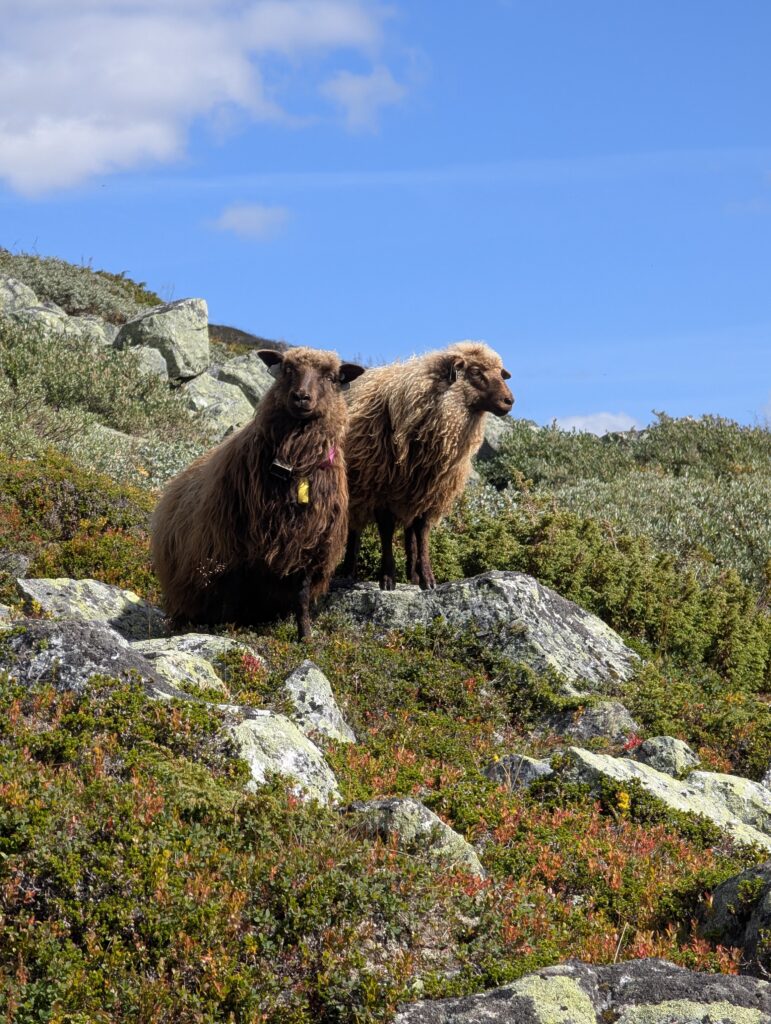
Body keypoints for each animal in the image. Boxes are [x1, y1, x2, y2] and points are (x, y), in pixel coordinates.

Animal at [151, 347, 365, 640]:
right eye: (287, 369)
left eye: (331, 377)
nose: (301, 397)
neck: (295, 465)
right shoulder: (234, 548)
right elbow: (232, 593)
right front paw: (227, 629)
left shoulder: (309, 547)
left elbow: (301, 597)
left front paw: (305, 637)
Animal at [342, 341, 513, 590]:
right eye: (475, 372)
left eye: (501, 373)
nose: (509, 401)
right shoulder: (381, 487)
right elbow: (386, 530)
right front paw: (388, 578)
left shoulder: (430, 492)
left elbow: (421, 533)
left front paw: (427, 579)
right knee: (354, 529)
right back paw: (347, 572)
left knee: (409, 532)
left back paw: (412, 575)